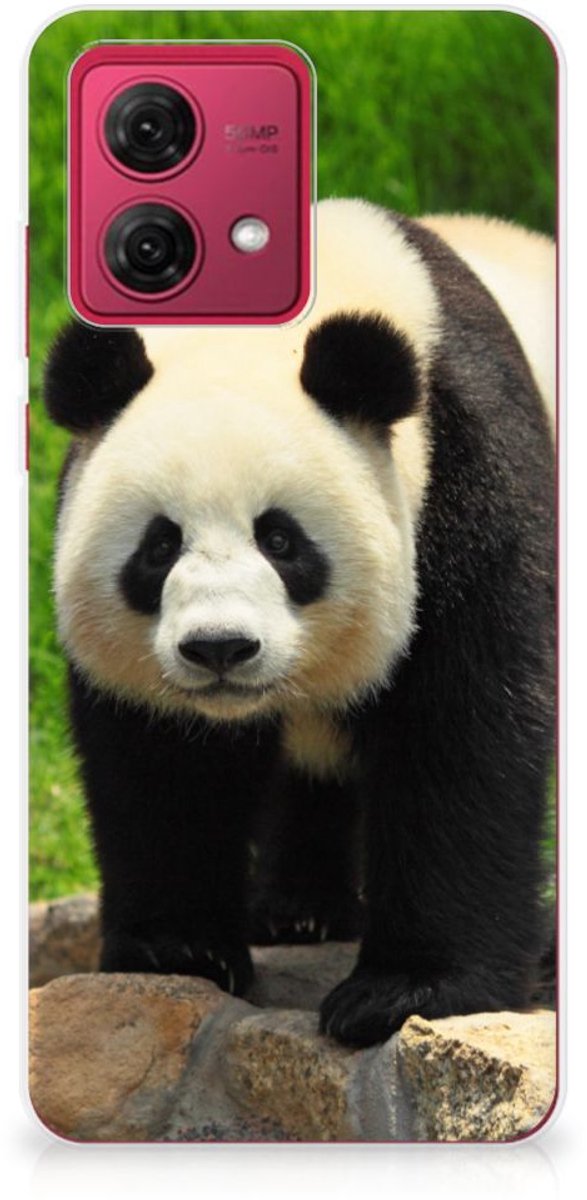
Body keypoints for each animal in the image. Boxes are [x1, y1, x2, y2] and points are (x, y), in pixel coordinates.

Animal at [43, 199, 555, 1048]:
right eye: (158, 546)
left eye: (280, 540)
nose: (219, 648)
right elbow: (162, 761)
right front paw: (177, 949)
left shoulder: (470, 480)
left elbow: (463, 731)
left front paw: (405, 991)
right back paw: (297, 910)